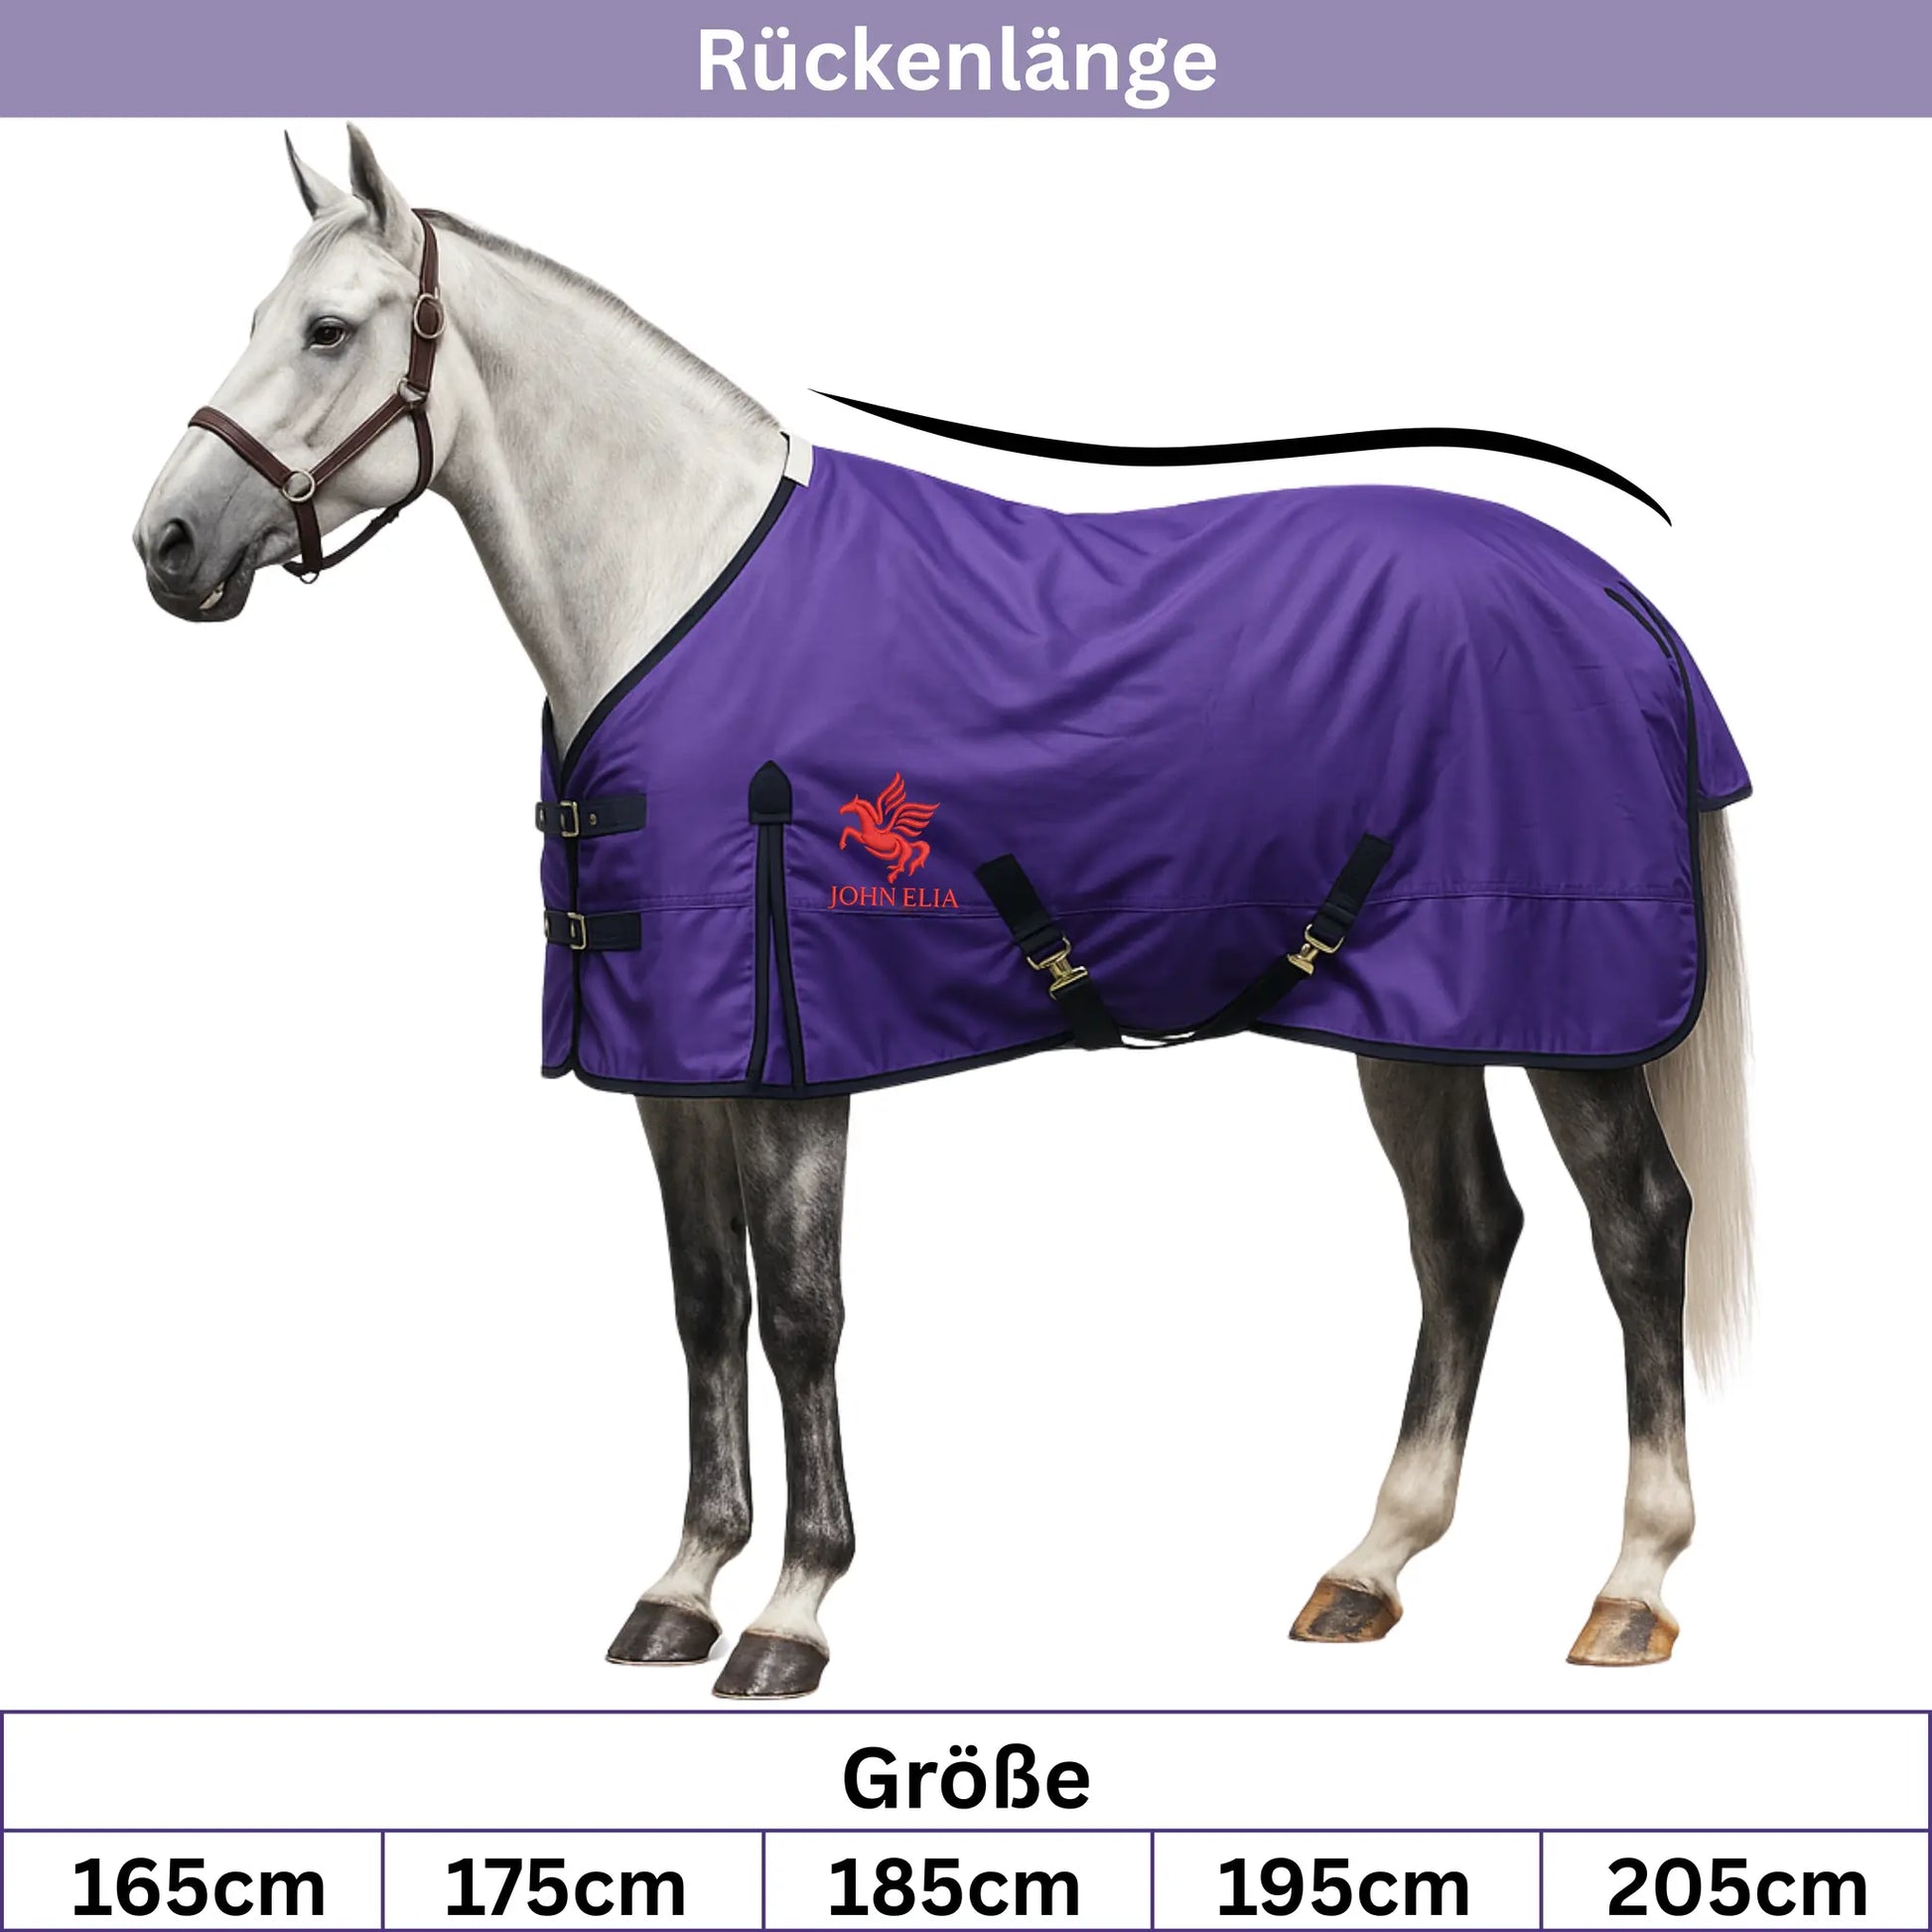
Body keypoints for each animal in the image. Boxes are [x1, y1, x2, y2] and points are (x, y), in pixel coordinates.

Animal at [134, 128, 1751, 1700]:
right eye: (260, 317)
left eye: (328, 329)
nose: (167, 542)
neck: (676, 587)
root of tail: (1620, 604)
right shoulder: (671, 1063)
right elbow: (705, 1302)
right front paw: (680, 1588)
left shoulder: (794, 1053)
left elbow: (802, 1310)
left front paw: (792, 1611)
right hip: (1408, 1012)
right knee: (1462, 1233)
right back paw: (1369, 1566)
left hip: (1566, 1009)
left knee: (1634, 1228)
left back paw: (1629, 1586)